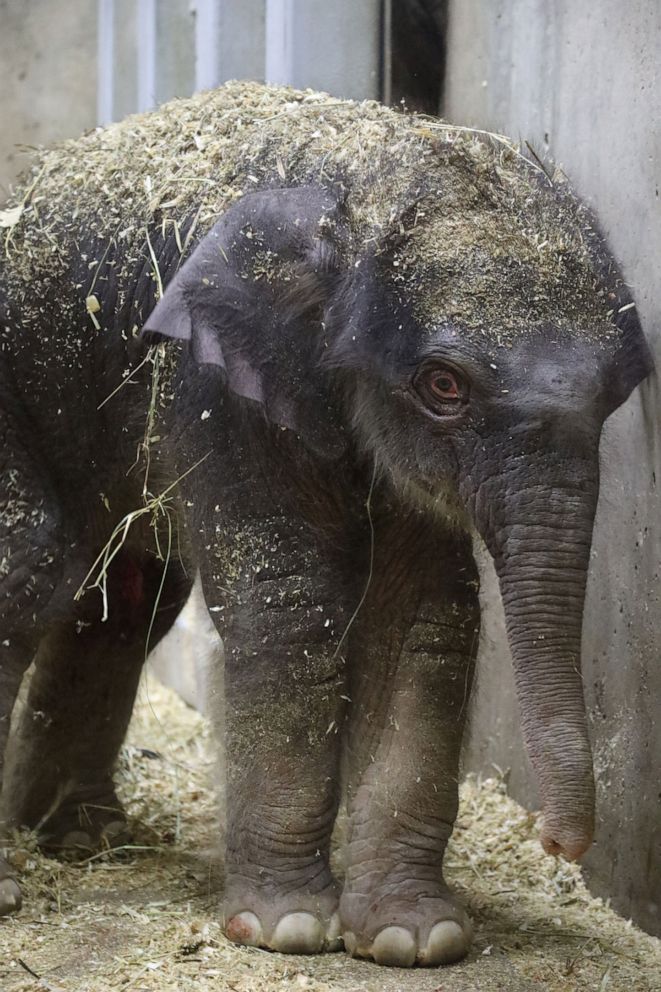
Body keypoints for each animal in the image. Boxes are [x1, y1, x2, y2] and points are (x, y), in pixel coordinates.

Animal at [0, 81, 648, 964]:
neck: (365, 179)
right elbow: (290, 601)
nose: (556, 843)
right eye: (443, 385)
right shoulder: (214, 383)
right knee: (30, 565)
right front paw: (288, 929)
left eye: (617, 391)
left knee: (126, 598)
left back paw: (80, 837)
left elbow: (424, 613)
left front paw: (413, 937)